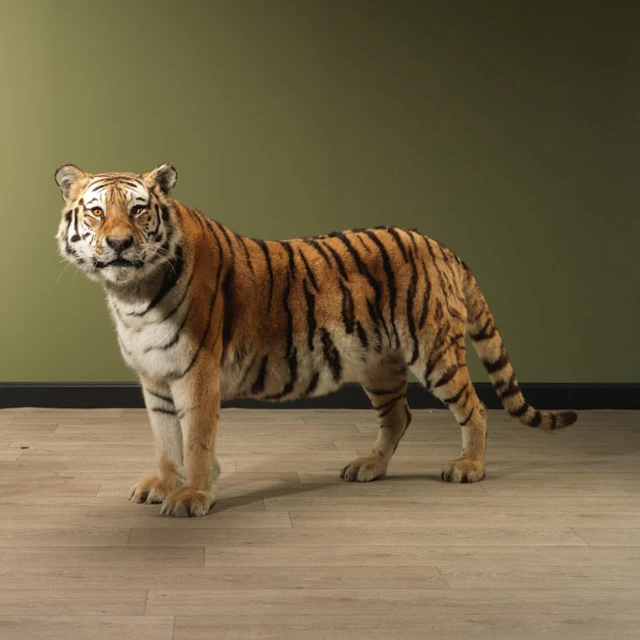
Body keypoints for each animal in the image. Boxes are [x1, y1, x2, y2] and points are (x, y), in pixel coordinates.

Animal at [54, 163, 578, 517]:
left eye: (139, 211)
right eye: (97, 212)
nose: (120, 244)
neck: (132, 296)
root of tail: (443, 247)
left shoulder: (197, 373)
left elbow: (196, 440)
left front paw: (194, 496)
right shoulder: (155, 377)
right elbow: (166, 439)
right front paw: (163, 484)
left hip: (434, 352)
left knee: (475, 407)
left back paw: (469, 467)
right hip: (379, 362)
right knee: (399, 415)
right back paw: (369, 467)